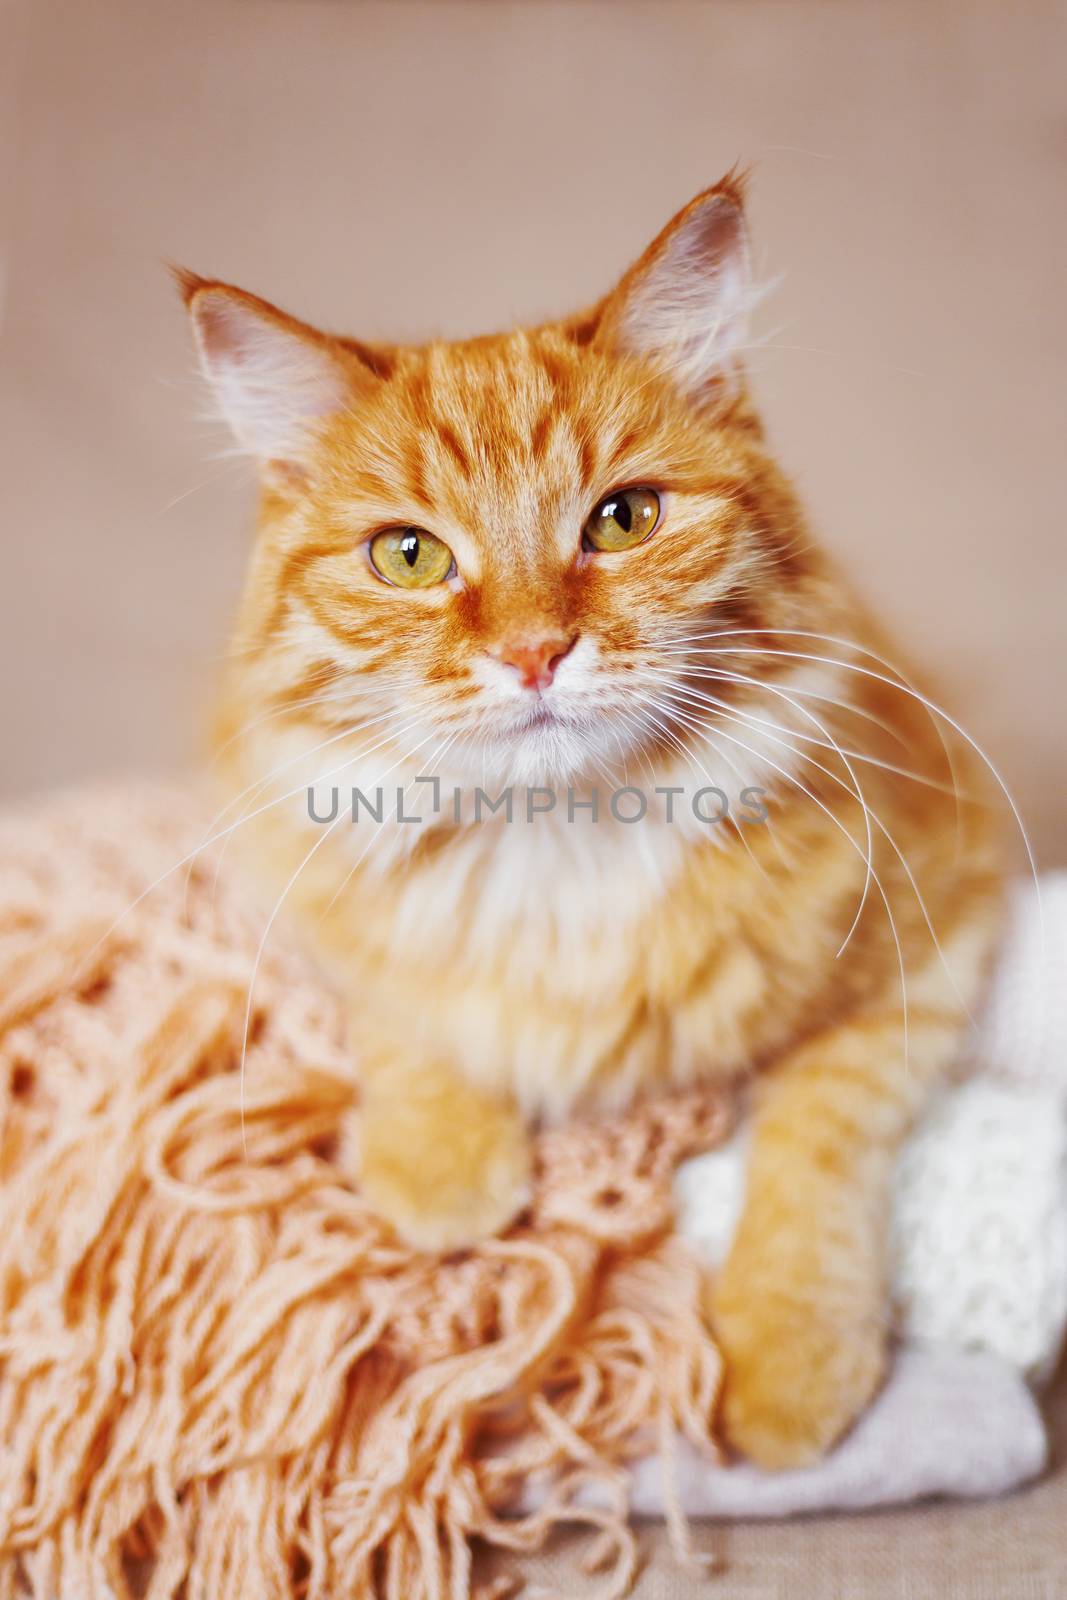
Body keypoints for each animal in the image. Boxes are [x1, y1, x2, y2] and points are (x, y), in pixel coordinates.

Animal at [179, 178, 1004, 1472]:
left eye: (621, 520)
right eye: (406, 554)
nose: (532, 652)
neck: (557, 838)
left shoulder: (939, 921)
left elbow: (817, 1138)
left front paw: (785, 1363)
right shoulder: (292, 879)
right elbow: (398, 1012)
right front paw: (441, 1169)